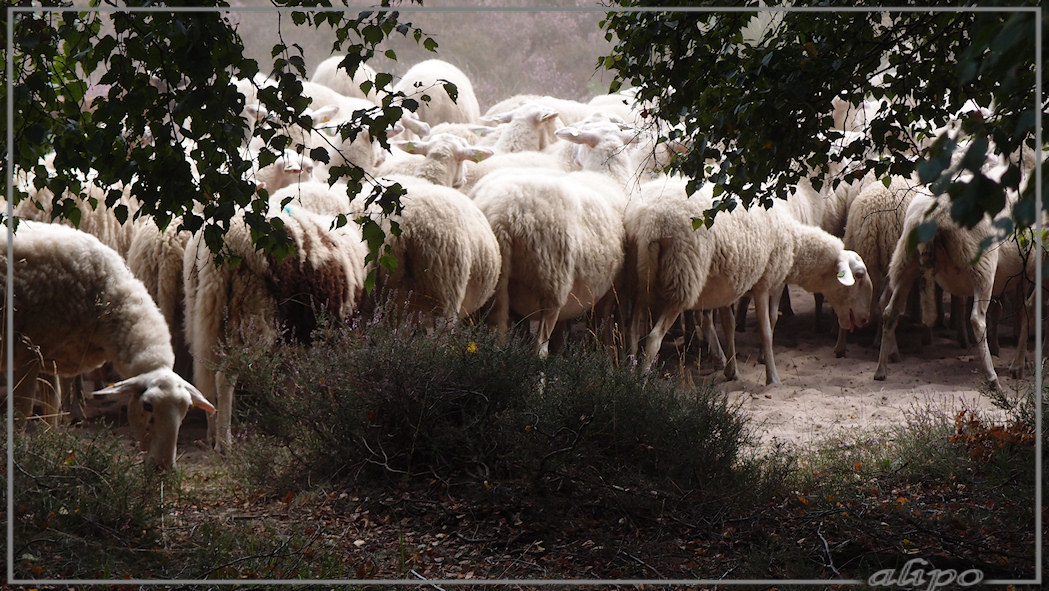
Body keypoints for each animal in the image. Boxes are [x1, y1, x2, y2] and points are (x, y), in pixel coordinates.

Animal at [1, 219, 215, 470]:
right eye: (147, 406)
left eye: (185, 409)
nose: (163, 467)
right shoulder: (28, 352)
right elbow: (21, 412)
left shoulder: (48, 356)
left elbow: (52, 409)